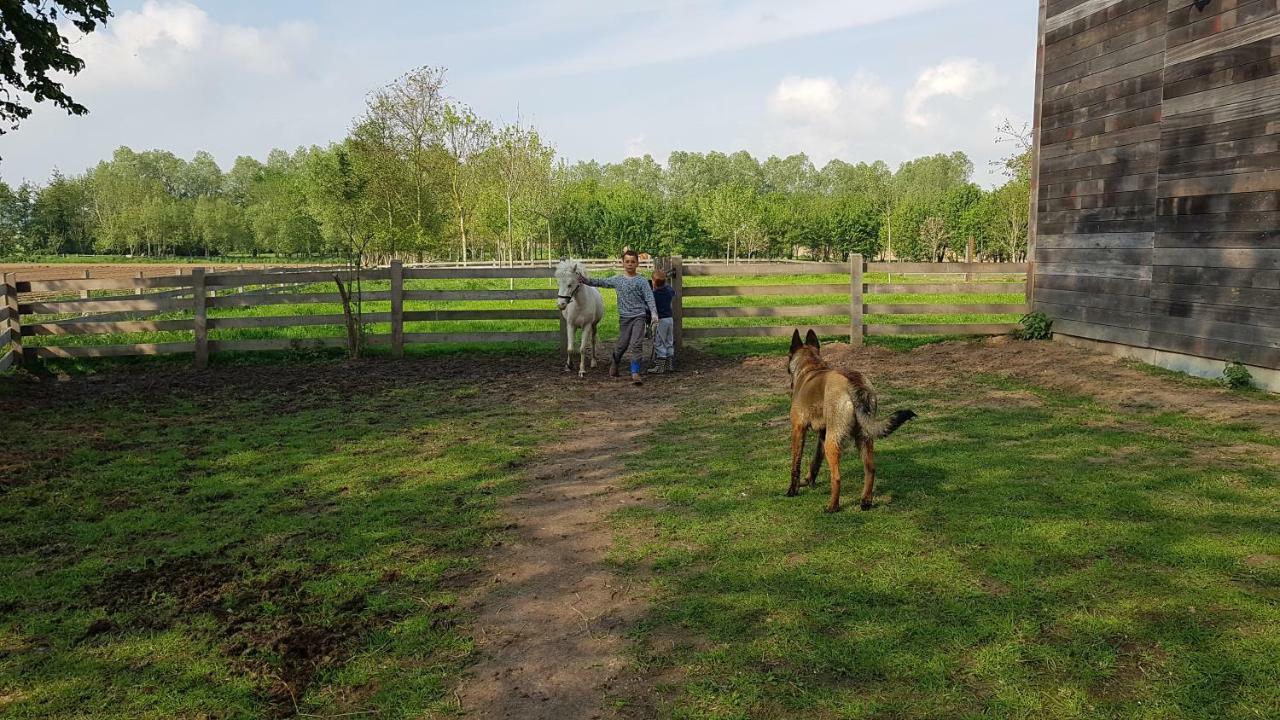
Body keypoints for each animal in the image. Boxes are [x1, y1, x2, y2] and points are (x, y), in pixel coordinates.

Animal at [783, 327, 916, 507]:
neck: (810, 367)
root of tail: (853, 382)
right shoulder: (823, 434)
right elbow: (815, 460)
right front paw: (810, 480)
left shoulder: (798, 430)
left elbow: (795, 465)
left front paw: (793, 490)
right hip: (864, 437)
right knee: (870, 469)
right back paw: (865, 501)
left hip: (833, 442)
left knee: (837, 477)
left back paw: (832, 506)